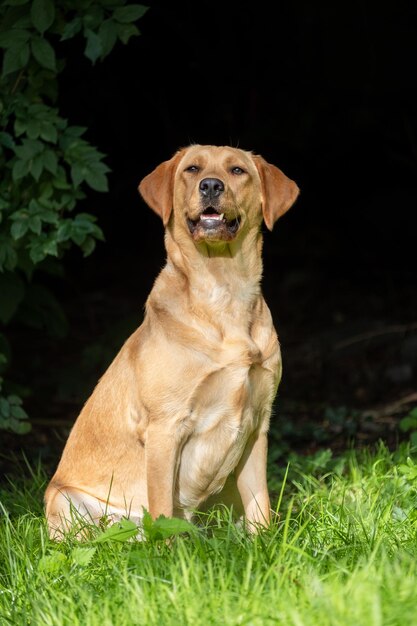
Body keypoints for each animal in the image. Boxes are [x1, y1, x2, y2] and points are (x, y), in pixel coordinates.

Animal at [44, 143, 300, 536]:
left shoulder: (258, 424)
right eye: (192, 169)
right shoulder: (165, 427)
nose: (210, 186)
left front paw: (263, 544)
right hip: (63, 500)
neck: (223, 292)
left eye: (237, 170)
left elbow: (262, 505)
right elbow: (163, 508)